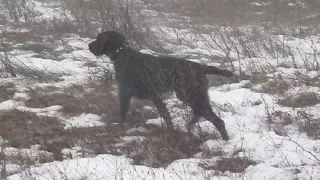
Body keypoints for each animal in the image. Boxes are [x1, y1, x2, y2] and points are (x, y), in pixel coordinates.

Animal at [89, 30, 234, 141]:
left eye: (98, 38)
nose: (89, 45)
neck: (123, 55)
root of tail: (201, 67)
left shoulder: (127, 95)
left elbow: (122, 116)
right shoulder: (155, 98)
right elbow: (167, 117)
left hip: (193, 97)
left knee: (217, 121)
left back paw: (225, 141)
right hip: (191, 97)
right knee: (202, 115)